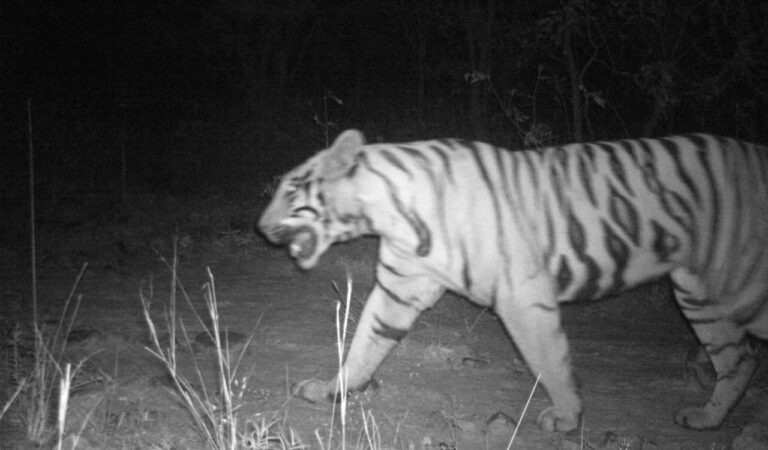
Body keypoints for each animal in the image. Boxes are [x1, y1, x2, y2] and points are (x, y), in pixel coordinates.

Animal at [258, 129, 768, 432]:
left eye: (291, 189)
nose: (260, 228)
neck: (388, 212)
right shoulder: (401, 287)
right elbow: (365, 343)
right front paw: (331, 391)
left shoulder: (522, 297)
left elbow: (549, 359)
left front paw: (566, 417)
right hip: (699, 294)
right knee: (739, 359)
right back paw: (705, 418)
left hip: (741, 286)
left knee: (741, 354)